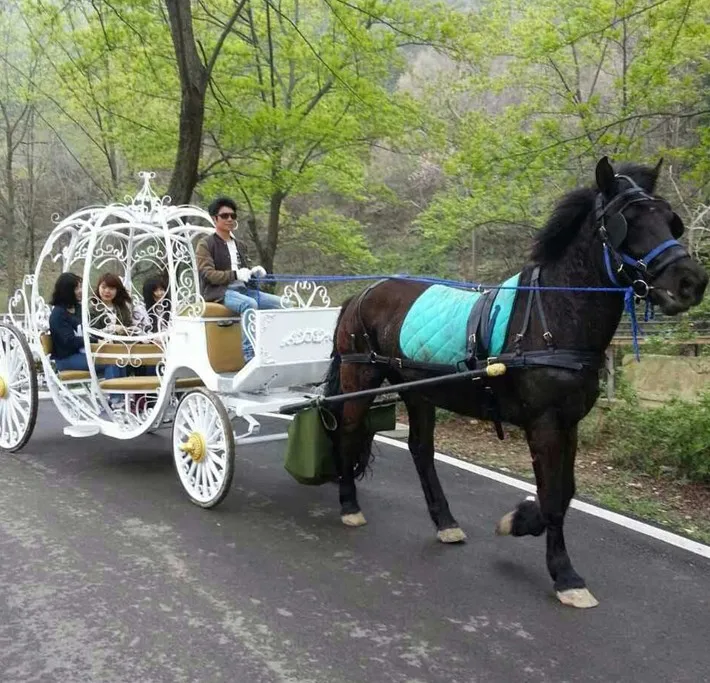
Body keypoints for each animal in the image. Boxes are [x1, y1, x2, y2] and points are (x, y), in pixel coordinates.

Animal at [322, 156, 708, 609]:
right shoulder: (543, 423)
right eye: (626, 222)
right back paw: (349, 505)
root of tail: (362, 293)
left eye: (670, 220)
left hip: (419, 390)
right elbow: (554, 496)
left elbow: (565, 490)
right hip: (360, 377)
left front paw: (520, 521)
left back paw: (445, 521)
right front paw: (564, 574)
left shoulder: (568, 422)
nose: (691, 282)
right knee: (348, 432)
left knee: (420, 450)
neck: (552, 316)